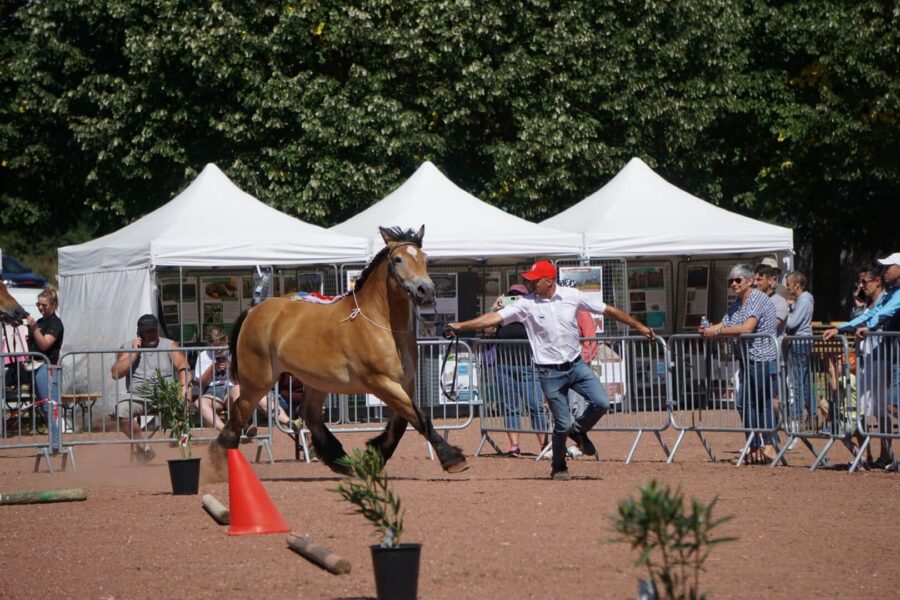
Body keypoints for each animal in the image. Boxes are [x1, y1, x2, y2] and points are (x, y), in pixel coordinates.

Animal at [207, 226, 468, 478]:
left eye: (425, 258)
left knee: (309, 414)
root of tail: (254, 311)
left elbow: (403, 421)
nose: (426, 291)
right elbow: (420, 418)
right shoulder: (380, 382)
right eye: (398, 259)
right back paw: (222, 464)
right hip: (258, 380)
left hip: (315, 381)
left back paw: (341, 461)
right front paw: (453, 459)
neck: (382, 324)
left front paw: (374, 454)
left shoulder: (405, 383)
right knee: (239, 412)